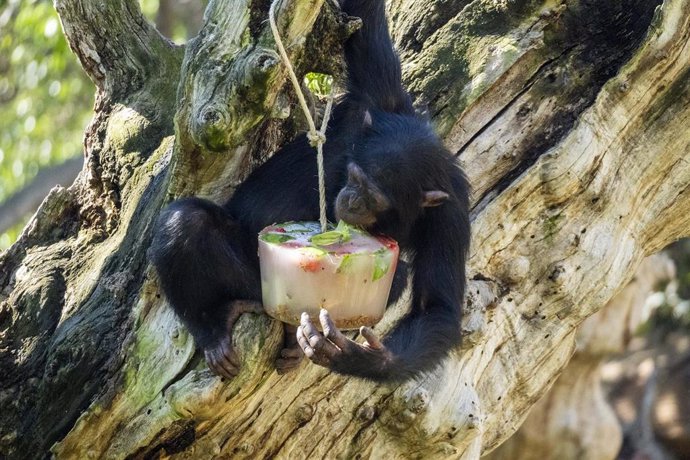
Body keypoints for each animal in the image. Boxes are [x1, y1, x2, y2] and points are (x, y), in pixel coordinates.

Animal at [149, 0, 468, 382]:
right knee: (187, 222)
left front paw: (360, 358)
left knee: (401, 275)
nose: (352, 199)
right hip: (253, 281)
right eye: (355, 176)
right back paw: (213, 325)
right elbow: (366, 21)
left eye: (374, 198)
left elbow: (437, 306)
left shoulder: (450, 215)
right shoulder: (379, 95)